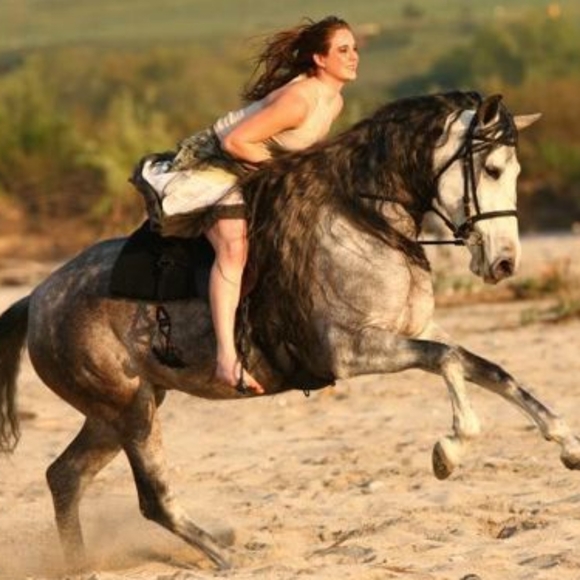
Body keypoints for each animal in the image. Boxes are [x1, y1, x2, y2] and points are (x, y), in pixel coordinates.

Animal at [1, 91, 578, 571]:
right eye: (494, 168)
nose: (504, 264)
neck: (367, 225)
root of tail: (39, 297)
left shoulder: (414, 330)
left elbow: (487, 369)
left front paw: (564, 442)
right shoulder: (352, 351)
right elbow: (448, 360)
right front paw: (449, 451)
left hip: (119, 410)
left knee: (64, 476)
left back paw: (82, 565)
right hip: (131, 412)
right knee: (152, 498)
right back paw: (226, 557)